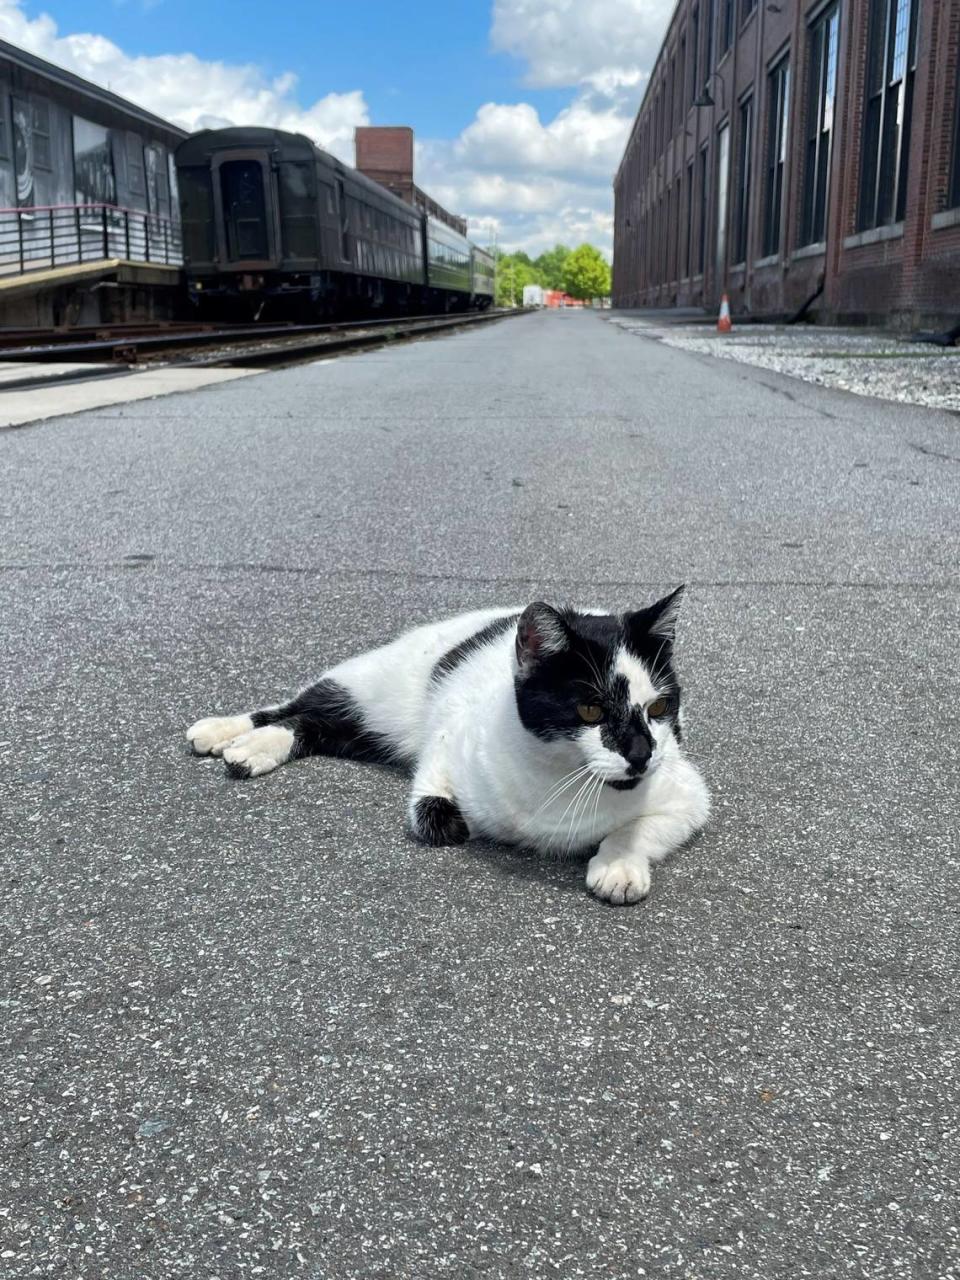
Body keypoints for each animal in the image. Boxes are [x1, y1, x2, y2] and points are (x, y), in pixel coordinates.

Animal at [189, 586, 716, 901]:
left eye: (660, 708)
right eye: (590, 711)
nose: (642, 753)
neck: (558, 785)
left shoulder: (688, 796)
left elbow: (637, 829)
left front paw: (619, 865)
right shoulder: (448, 737)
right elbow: (434, 814)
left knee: (313, 724)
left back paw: (246, 747)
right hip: (372, 687)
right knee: (299, 706)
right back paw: (224, 733)